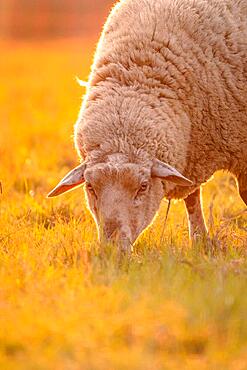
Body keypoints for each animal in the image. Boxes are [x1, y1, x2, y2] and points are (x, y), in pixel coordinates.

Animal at [47, 0, 246, 251]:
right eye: (90, 187)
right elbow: (192, 200)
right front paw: (200, 241)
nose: (114, 249)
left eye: (143, 186)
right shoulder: (192, 151)